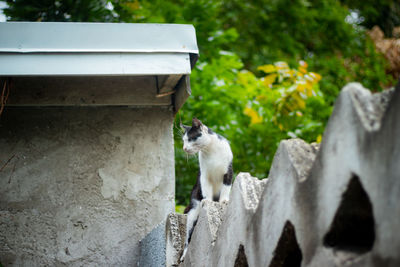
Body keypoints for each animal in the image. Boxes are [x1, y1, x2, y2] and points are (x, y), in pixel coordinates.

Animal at [180, 118, 233, 262]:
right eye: (184, 140)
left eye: (190, 138)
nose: (184, 148)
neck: (211, 151)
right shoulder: (204, 175)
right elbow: (207, 190)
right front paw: (208, 201)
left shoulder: (228, 171)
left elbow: (226, 188)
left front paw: (224, 201)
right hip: (192, 211)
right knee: (187, 238)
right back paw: (184, 255)